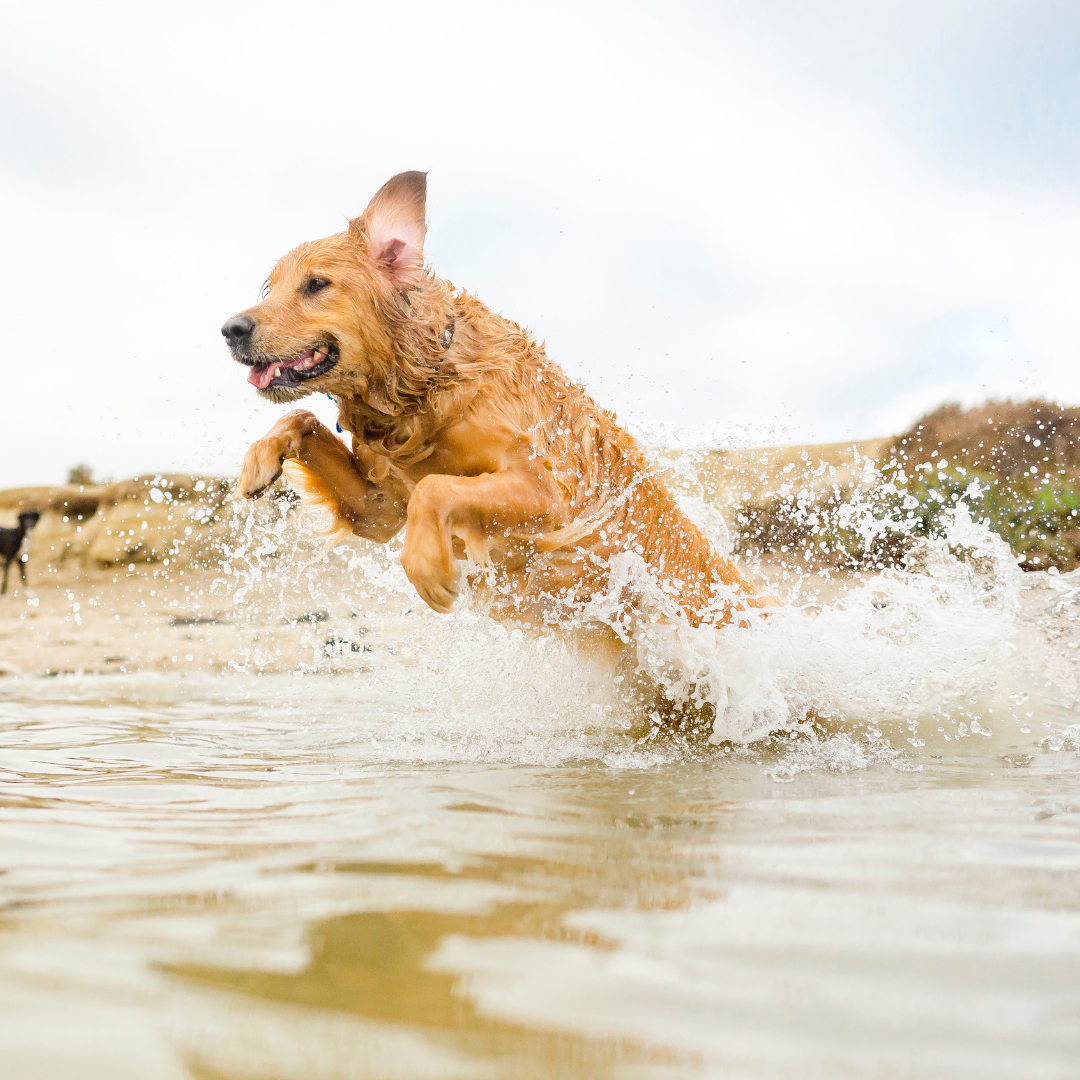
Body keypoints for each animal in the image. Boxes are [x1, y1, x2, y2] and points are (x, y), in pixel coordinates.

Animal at [223, 171, 773, 630]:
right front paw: (259, 460)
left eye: (317, 284)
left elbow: (436, 489)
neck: (424, 387)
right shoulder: (380, 509)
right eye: (270, 287)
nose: (231, 329)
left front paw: (428, 567)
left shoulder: (549, 496)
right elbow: (301, 416)